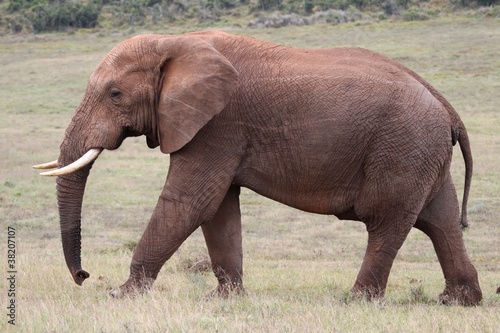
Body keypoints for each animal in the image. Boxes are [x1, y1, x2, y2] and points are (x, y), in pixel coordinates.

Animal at [34, 29, 480, 304]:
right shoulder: (217, 130)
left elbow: (191, 201)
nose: (84, 276)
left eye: (115, 94)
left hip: (403, 149)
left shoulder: (218, 124)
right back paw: (457, 301)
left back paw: (356, 301)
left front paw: (121, 295)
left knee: (388, 222)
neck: (175, 42)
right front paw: (224, 299)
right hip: (420, 152)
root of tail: (446, 106)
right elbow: (217, 208)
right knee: (439, 221)